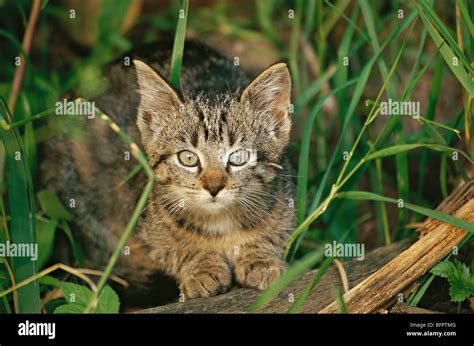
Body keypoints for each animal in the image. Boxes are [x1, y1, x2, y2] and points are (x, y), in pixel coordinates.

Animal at [40, 40, 294, 298]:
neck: (220, 223)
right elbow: (171, 247)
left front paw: (261, 259)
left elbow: (275, 232)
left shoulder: (286, 203)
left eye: (238, 157)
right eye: (188, 158)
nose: (213, 187)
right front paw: (201, 267)